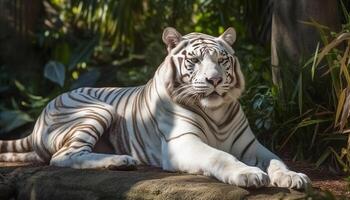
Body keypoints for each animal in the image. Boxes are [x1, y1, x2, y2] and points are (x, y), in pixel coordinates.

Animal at [1, 27, 310, 188]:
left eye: (222, 60)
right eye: (194, 61)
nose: (214, 80)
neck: (216, 111)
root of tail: (42, 113)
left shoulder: (251, 145)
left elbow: (276, 160)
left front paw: (293, 177)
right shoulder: (182, 142)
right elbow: (220, 156)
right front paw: (247, 174)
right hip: (98, 110)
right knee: (63, 156)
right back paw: (120, 161)